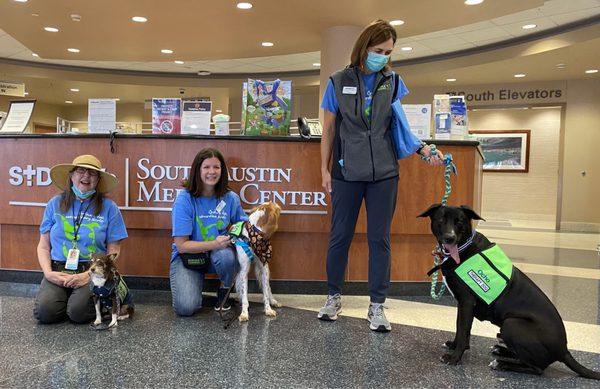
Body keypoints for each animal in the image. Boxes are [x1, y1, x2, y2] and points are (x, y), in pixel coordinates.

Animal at [418, 203, 600, 378]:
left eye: (460, 221)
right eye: (441, 219)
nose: (450, 238)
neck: (464, 247)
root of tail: (564, 351)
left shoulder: (467, 303)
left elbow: (463, 331)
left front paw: (455, 357)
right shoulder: (462, 305)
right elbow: (460, 328)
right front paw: (454, 346)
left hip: (512, 324)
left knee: (536, 368)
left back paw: (501, 364)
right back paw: (501, 351)